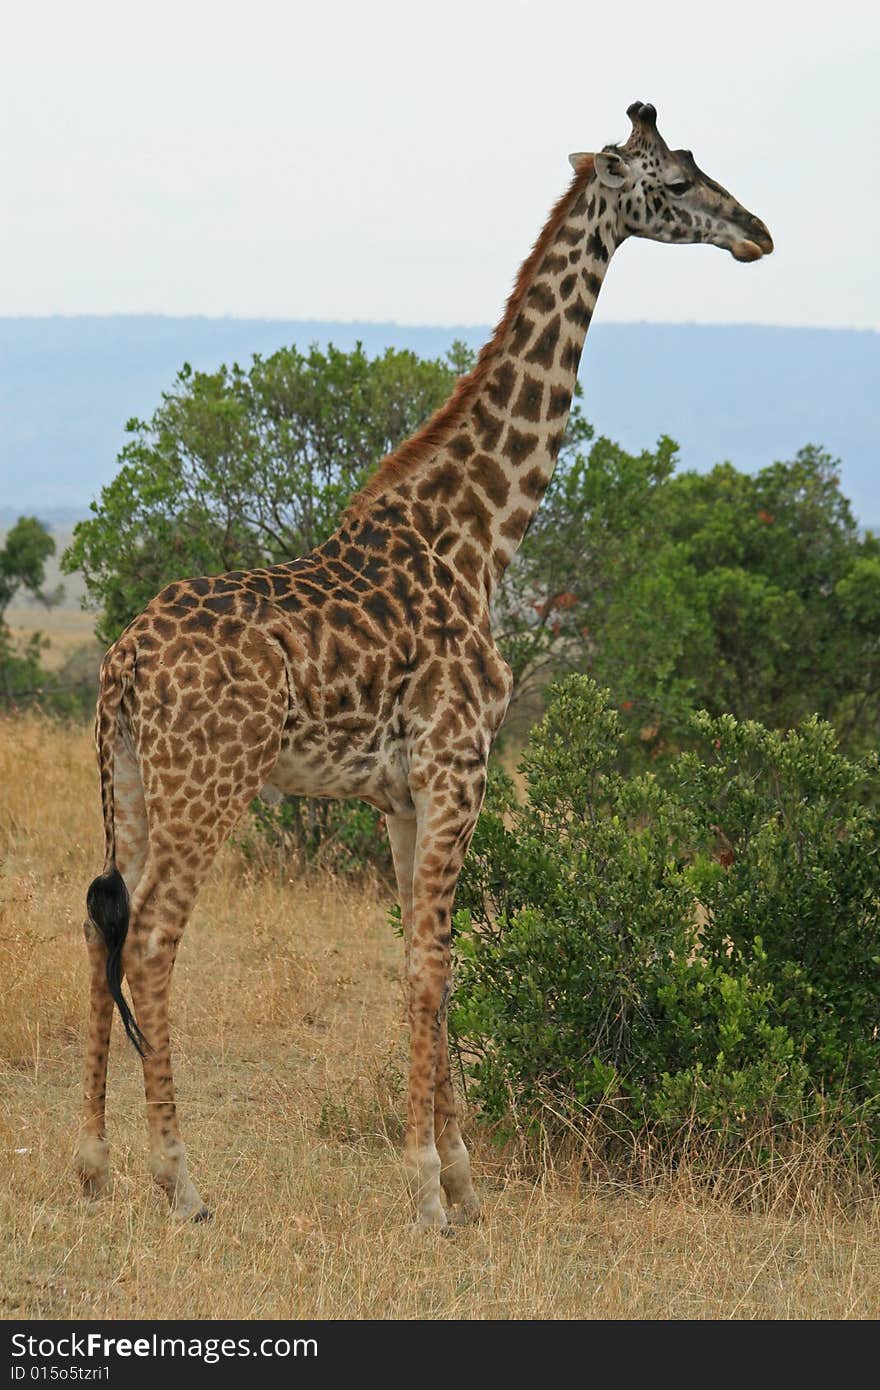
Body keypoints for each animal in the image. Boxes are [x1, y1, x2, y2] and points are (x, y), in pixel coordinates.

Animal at [73, 100, 767, 1228]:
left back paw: (90, 1164)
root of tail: (124, 662)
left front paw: (462, 1179)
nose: (757, 231)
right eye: (671, 183)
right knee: (153, 937)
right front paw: (428, 1189)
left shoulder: (401, 794)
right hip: (208, 781)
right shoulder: (458, 766)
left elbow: (422, 957)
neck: (480, 536)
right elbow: (434, 964)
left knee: (102, 923)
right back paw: (177, 1177)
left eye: (700, 168)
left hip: (128, 777)